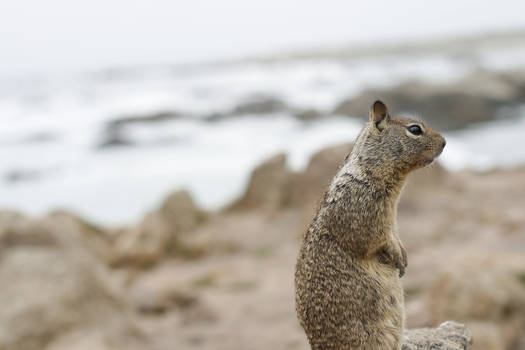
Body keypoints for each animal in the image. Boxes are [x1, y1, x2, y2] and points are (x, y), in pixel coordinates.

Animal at [292, 100, 444, 350]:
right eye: (415, 129)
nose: (444, 142)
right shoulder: (365, 217)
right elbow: (376, 240)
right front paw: (398, 259)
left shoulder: (392, 224)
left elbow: (396, 237)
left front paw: (404, 258)